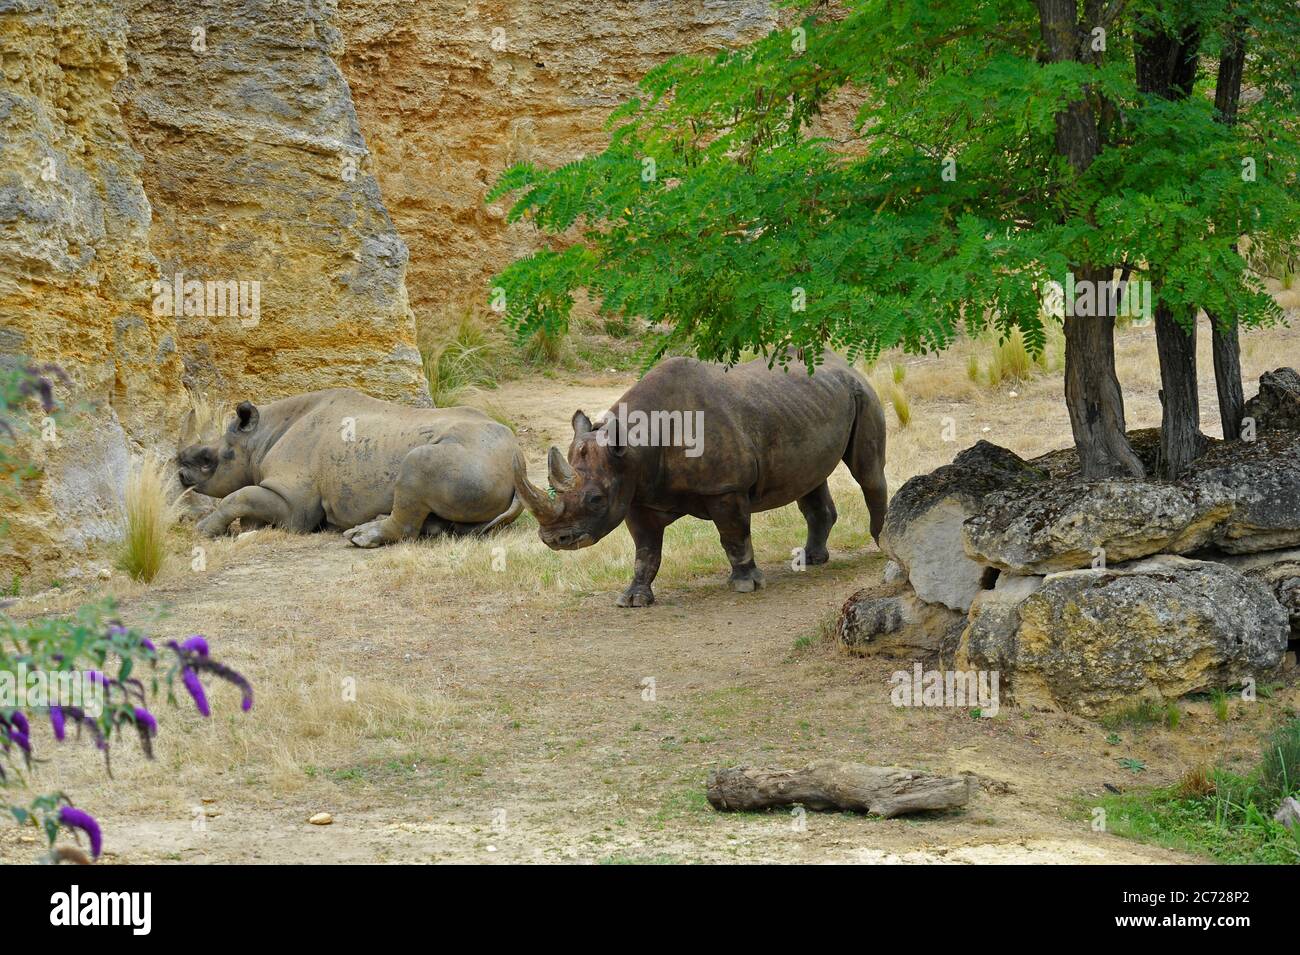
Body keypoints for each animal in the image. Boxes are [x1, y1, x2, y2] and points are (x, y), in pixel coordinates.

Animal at [178, 387, 522, 545]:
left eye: (207, 460)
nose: (180, 472)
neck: (258, 439)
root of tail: (516, 457)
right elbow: (247, 499)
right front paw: (248, 528)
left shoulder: (293, 503)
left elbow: (240, 495)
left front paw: (204, 530)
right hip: (481, 459)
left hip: (473, 457)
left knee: (417, 462)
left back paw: (360, 537)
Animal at [512, 350, 889, 605]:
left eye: (595, 500)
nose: (555, 539)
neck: (635, 447)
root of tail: (844, 363)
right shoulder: (635, 493)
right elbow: (646, 550)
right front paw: (634, 598)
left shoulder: (725, 488)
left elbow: (734, 536)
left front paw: (745, 585)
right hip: (807, 403)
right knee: (809, 480)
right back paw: (810, 560)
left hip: (863, 394)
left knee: (867, 473)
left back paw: (883, 543)